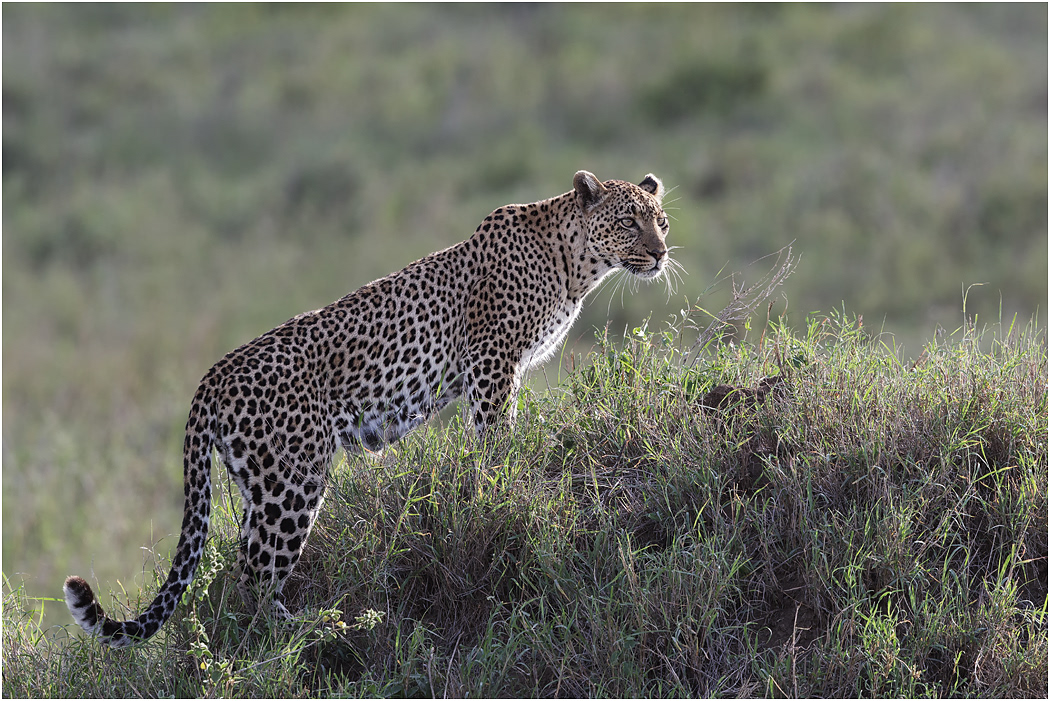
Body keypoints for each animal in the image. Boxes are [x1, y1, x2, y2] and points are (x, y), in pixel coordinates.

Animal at [64, 169, 673, 647]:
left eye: (660, 221)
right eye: (628, 222)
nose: (661, 253)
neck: (574, 264)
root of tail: (210, 377)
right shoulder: (492, 362)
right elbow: (497, 436)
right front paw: (506, 479)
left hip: (258, 486)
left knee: (237, 573)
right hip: (293, 482)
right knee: (255, 578)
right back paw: (310, 633)